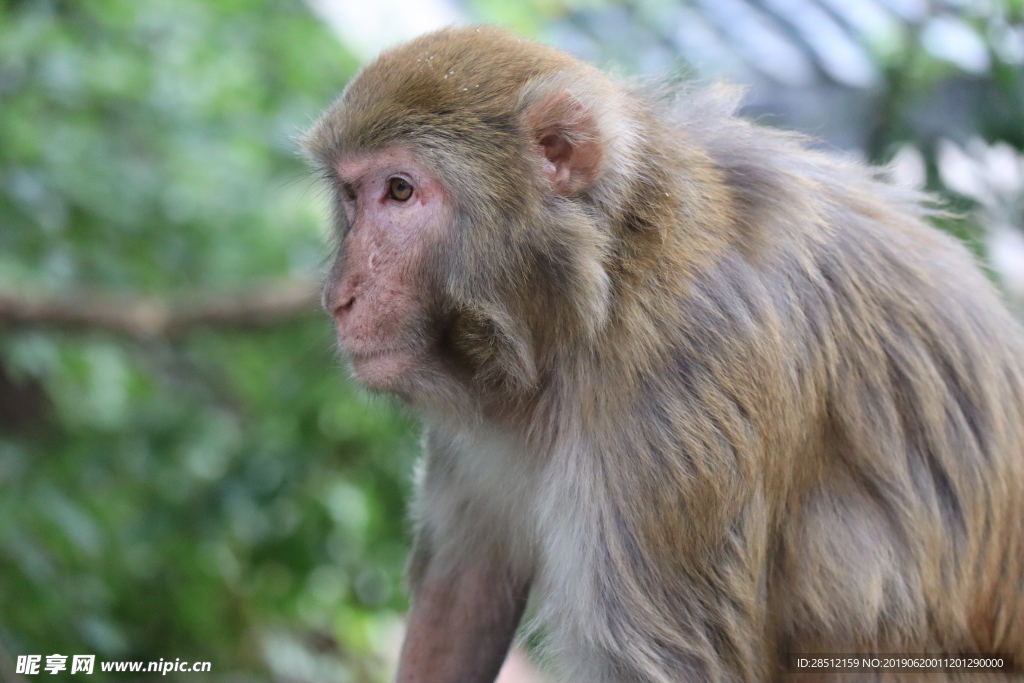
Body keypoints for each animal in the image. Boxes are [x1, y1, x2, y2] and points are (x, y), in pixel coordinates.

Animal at [301, 26, 1024, 683]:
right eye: (351, 195)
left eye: (400, 190)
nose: (338, 297)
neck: (601, 295)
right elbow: (464, 593)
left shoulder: (679, 401)